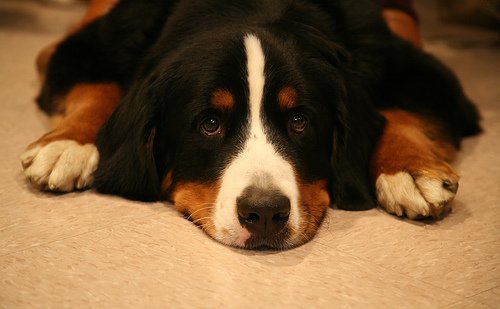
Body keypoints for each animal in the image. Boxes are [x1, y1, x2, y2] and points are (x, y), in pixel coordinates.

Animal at [20, 0, 480, 249]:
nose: (264, 212)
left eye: (299, 121)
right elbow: (96, 86)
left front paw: (410, 169)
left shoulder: (420, 70)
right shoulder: (91, 47)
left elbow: (401, 113)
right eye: (209, 123)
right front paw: (68, 144)